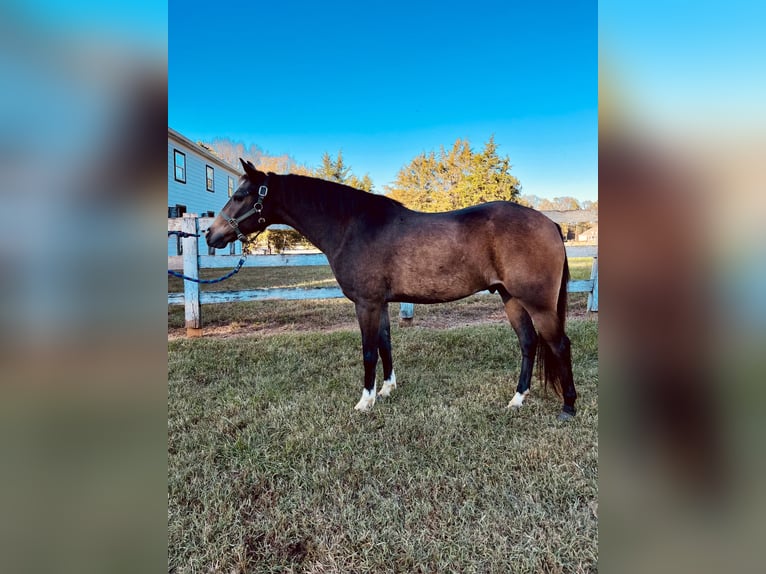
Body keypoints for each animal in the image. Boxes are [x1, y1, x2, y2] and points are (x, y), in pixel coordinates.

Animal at [207, 160, 580, 420]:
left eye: (239, 196)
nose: (211, 235)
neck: (351, 225)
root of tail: (549, 223)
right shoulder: (381, 303)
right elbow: (385, 344)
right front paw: (386, 390)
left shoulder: (366, 304)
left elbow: (369, 351)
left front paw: (365, 401)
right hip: (510, 298)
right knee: (528, 343)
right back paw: (517, 399)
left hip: (538, 303)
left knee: (559, 345)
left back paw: (568, 407)